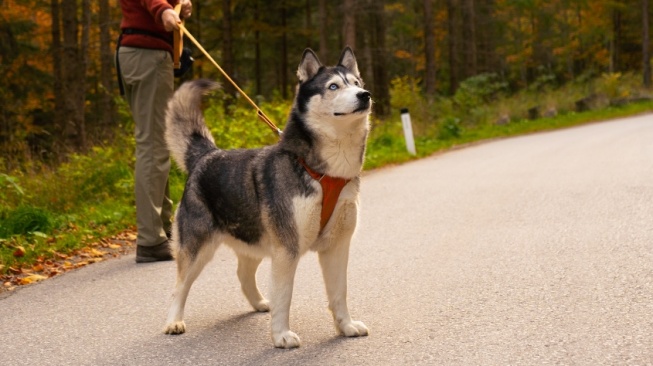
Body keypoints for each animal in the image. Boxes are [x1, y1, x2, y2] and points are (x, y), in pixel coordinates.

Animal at [163, 47, 372, 348]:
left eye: (357, 83)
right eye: (334, 86)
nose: (365, 95)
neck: (326, 173)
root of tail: (207, 154)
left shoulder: (337, 246)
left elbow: (339, 293)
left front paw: (346, 326)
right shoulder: (287, 249)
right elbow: (284, 295)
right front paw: (281, 335)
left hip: (254, 239)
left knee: (243, 273)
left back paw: (261, 302)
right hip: (197, 248)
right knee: (179, 285)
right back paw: (174, 321)